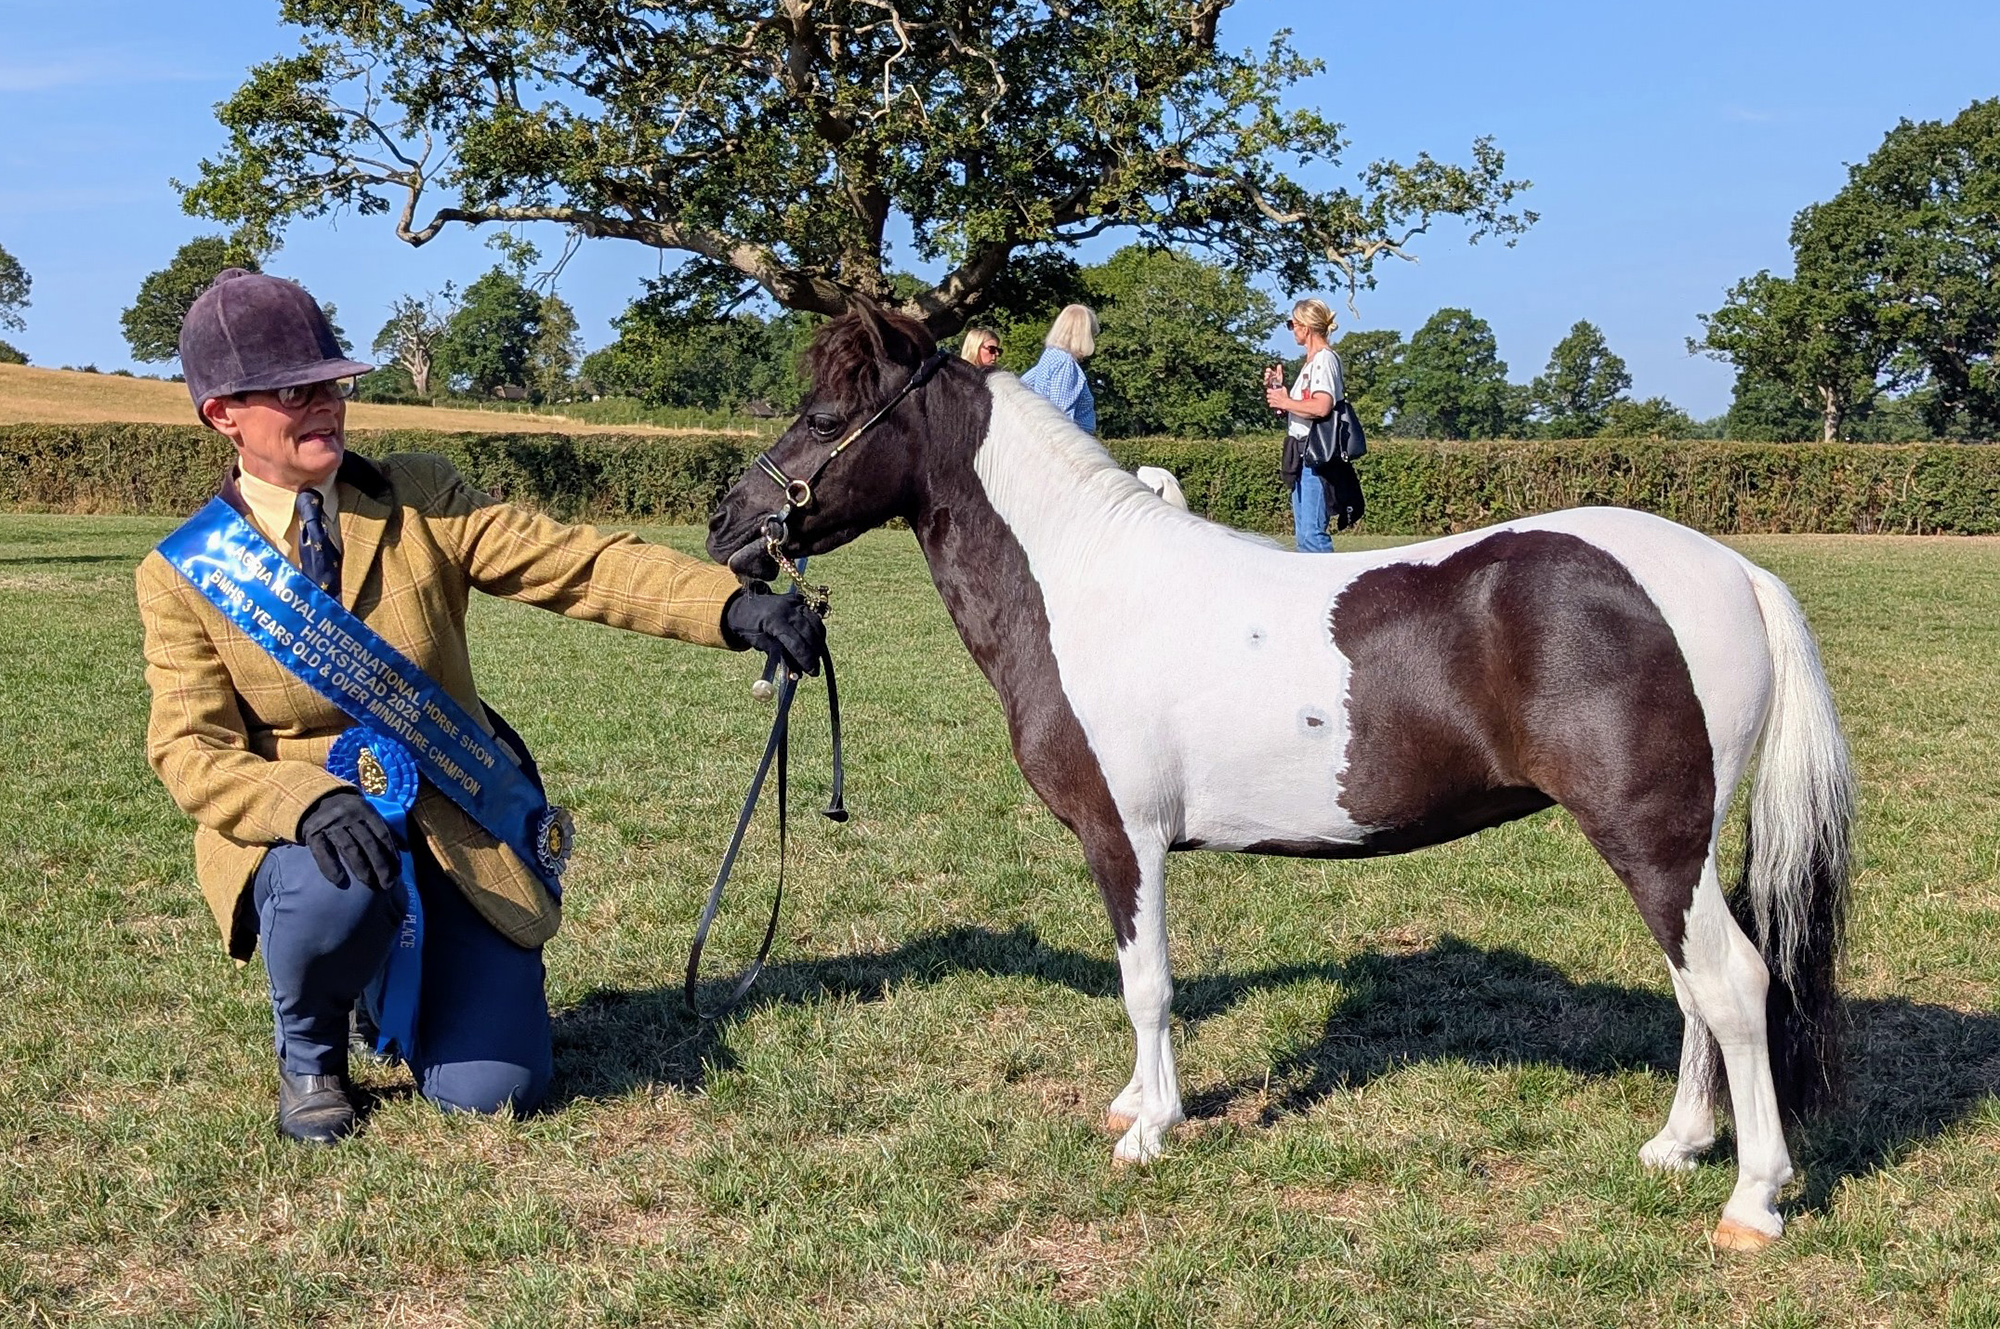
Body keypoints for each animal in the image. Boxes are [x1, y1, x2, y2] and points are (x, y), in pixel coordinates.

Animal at [706, 303, 1855, 1251]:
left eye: (824, 411)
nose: (727, 523)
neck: (1082, 586)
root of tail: (1730, 570)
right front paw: (1135, 1105)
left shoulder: (1123, 838)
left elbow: (1147, 984)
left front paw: (1151, 1131)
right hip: (1675, 850)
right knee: (1695, 987)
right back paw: (1677, 1144)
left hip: (1652, 839)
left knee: (1733, 985)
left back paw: (1751, 1201)